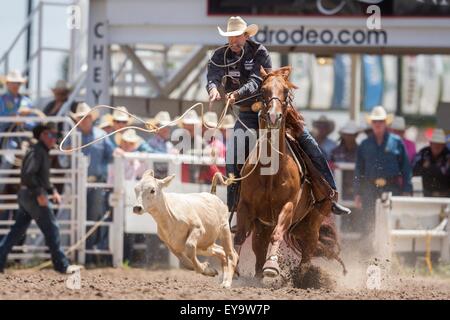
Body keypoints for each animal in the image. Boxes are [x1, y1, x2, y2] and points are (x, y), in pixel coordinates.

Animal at [232, 66, 344, 278]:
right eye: (263, 89)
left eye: (285, 91)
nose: (273, 116)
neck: (270, 172)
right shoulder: (245, 206)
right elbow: (240, 236)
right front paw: (232, 266)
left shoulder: (288, 206)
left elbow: (278, 234)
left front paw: (272, 266)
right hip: (269, 226)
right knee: (259, 248)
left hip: (311, 224)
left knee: (308, 252)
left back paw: (304, 276)